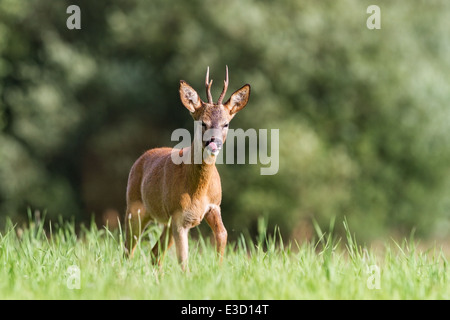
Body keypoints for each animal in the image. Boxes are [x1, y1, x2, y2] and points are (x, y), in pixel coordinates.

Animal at [124, 65, 250, 270]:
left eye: (226, 123)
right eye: (202, 122)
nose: (214, 143)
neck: (197, 191)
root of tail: (141, 157)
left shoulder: (214, 206)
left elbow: (223, 235)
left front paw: (219, 269)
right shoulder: (178, 216)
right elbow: (184, 258)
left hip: (164, 221)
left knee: (154, 252)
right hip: (135, 207)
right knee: (129, 249)